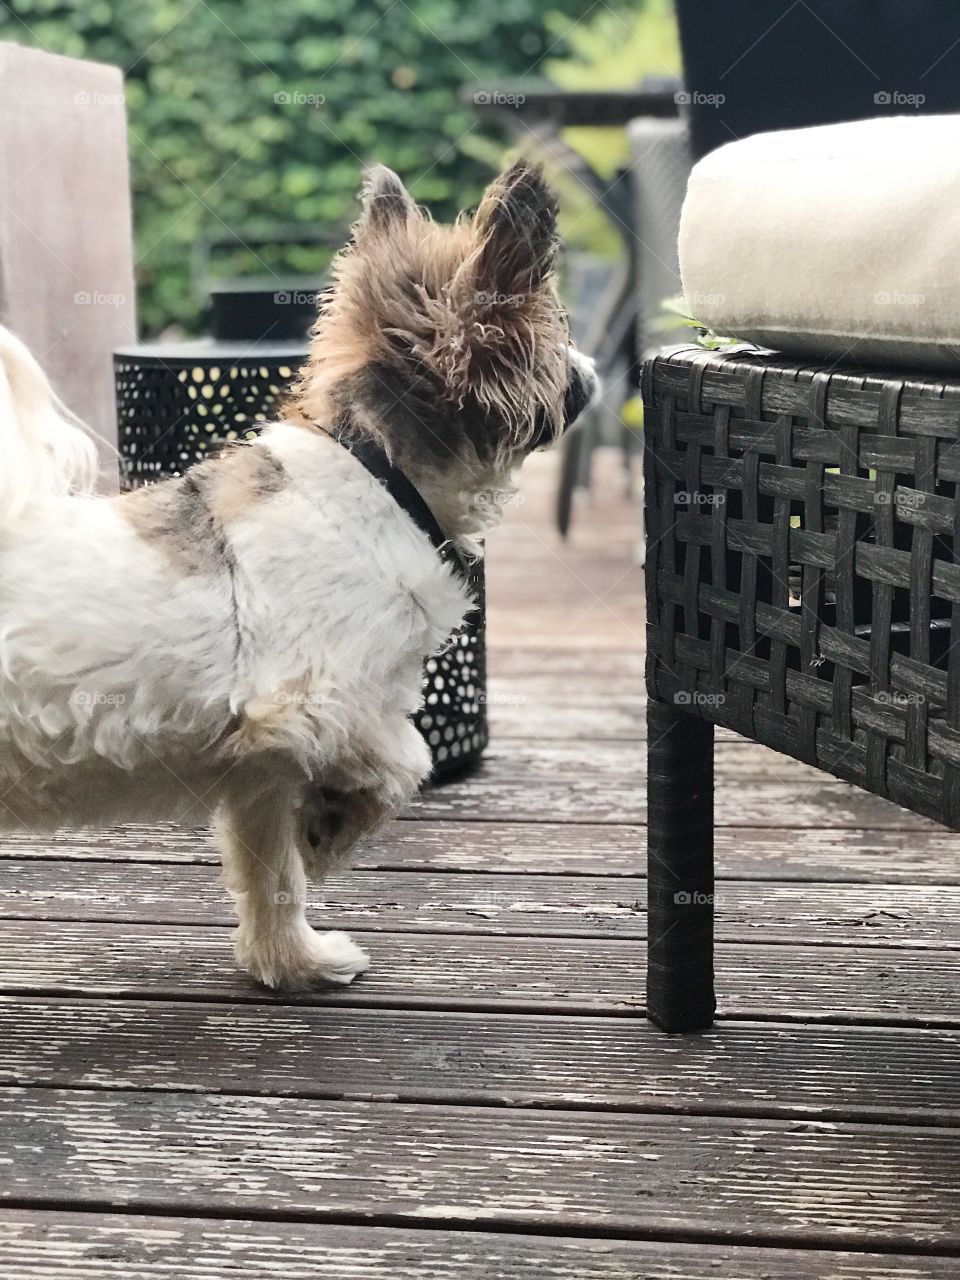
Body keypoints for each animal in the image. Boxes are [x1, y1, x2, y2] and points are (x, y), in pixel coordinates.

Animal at [0, 162, 599, 988]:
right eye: (559, 335)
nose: (592, 368)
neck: (382, 479)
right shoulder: (311, 705)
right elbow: (405, 759)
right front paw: (332, 827)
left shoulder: (262, 769)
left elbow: (271, 872)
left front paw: (291, 958)